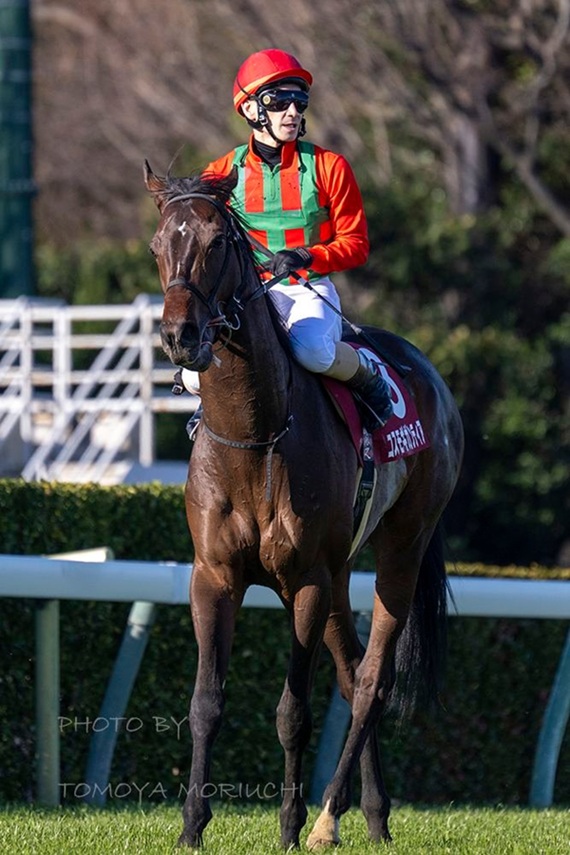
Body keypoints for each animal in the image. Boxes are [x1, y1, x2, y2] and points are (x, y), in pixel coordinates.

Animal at [144, 162, 464, 850]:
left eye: (218, 242)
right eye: (157, 246)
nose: (181, 336)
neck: (257, 438)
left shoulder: (307, 580)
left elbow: (293, 711)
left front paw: (289, 828)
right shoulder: (214, 576)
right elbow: (205, 703)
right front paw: (191, 829)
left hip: (401, 547)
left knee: (371, 681)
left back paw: (324, 819)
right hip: (343, 570)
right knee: (352, 669)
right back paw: (372, 814)